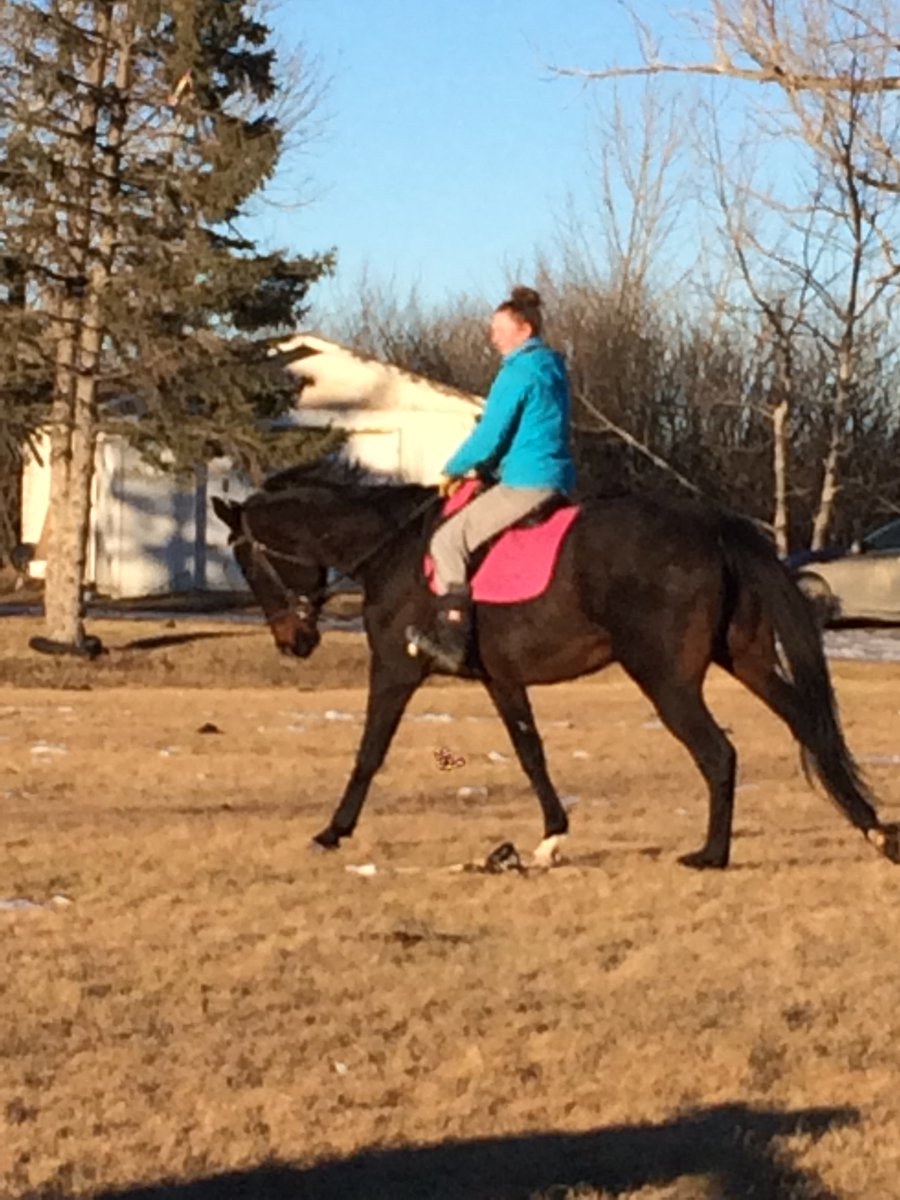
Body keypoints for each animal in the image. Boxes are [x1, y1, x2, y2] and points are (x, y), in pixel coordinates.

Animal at [212, 463, 900, 870]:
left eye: (246, 560)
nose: (294, 642)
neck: (394, 550)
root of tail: (713, 526)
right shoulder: (502, 680)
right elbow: (531, 753)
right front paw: (549, 837)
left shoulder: (396, 670)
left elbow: (369, 752)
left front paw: (332, 831)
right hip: (748, 660)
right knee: (810, 728)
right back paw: (875, 832)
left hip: (667, 679)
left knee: (718, 753)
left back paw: (711, 854)